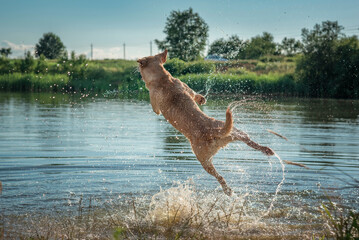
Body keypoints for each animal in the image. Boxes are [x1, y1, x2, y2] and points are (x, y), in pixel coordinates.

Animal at [139, 49, 276, 196]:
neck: (162, 79)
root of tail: (212, 132)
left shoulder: (155, 103)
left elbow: (155, 109)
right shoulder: (184, 87)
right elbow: (194, 94)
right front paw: (201, 99)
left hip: (203, 159)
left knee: (219, 176)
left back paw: (227, 190)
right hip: (233, 132)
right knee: (248, 140)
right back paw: (267, 150)